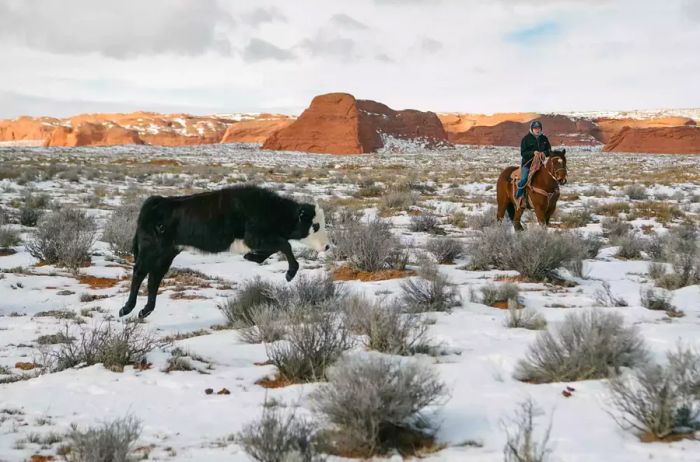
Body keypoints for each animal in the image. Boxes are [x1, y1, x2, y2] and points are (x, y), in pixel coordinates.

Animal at [119, 186, 330, 320]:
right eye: (316, 225)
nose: (327, 246)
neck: (270, 209)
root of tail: (156, 202)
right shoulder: (256, 237)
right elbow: (285, 245)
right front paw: (290, 273)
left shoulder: (257, 240)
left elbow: (274, 248)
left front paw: (252, 257)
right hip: (151, 250)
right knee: (139, 273)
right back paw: (127, 308)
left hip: (166, 255)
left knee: (154, 279)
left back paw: (145, 310)